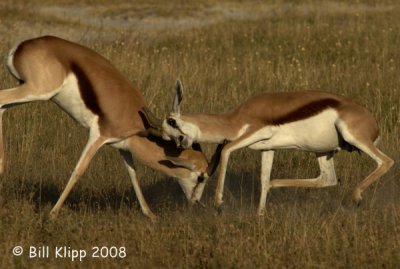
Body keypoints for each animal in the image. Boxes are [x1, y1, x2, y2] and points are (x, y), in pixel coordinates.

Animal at [0, 36, 220, 220]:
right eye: (201, 177)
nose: (196, 201)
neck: (135, 117)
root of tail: (21, 46)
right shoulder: (98, 136)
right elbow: (78, 170)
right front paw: (52, 214)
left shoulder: (122, 145)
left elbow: (133, 174)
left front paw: (150, 215)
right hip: (38, 91)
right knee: (1, 99)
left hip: (28, 91)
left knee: (2, 106)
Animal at [156, 79, 394, 214]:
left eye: (172, 122)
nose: (181, 143)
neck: (235, 119)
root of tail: (373, 123)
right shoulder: (267, 149)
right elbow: (263, 180)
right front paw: (260, 216)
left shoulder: (252, 134)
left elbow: (225, 150)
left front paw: (218, 203)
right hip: (323, 151)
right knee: (328, 179)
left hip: (353, 137)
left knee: (386, 161)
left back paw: (356, 197)